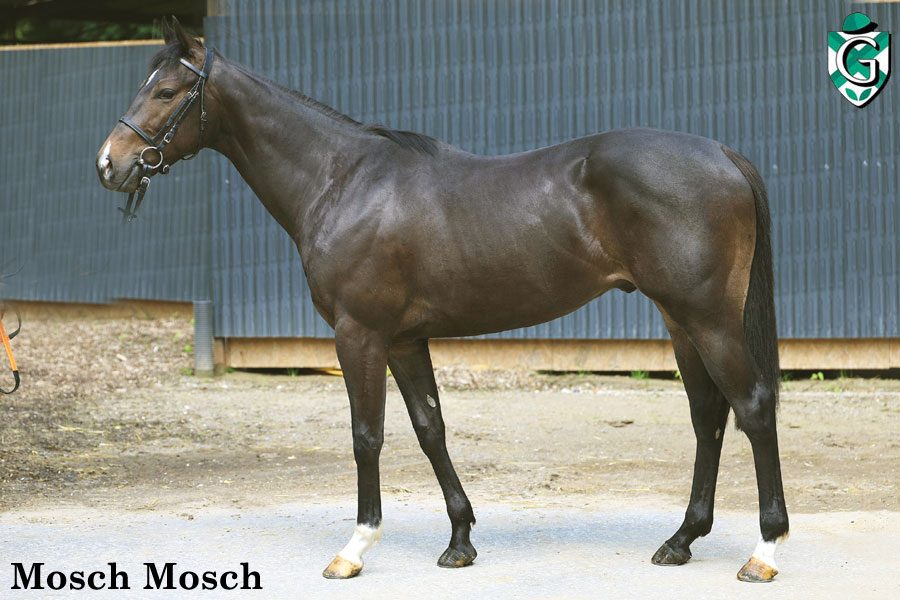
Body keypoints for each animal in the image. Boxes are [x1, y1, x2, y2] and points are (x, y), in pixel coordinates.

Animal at [96, 18, 788, 583]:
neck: (343, 180)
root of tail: (722, 154)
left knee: (751, 407)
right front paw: (459, 541)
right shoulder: (405, 339)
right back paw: (681, 540)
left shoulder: (359, 334)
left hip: (708, 318)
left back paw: (764, 551)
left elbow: (367, 434)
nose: (109, 165)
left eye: (165, 92)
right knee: (708, 415)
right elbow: (430, 428)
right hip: (681, 320)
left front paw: (355, 548)